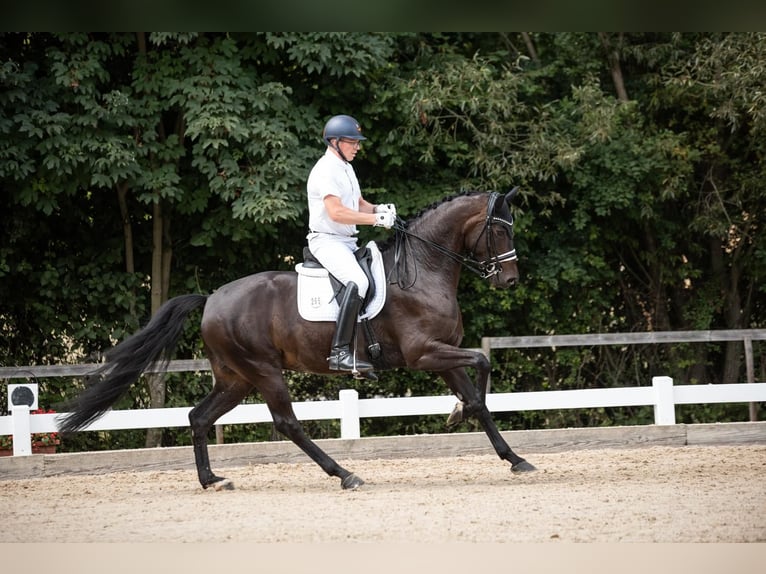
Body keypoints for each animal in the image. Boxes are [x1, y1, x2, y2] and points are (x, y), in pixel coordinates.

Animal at [58, 189, 536, 490]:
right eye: (500, 230)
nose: (510, 280)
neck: (424, 269)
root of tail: (211, 298)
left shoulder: (443, 355)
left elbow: (478, 393)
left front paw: (512, 457)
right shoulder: (425, 354)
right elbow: (483, 364)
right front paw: (460, 414)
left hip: (236, 378)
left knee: (199, 417)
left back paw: (212, 480)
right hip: (264, 371)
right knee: (286, 423)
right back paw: (344, 474)